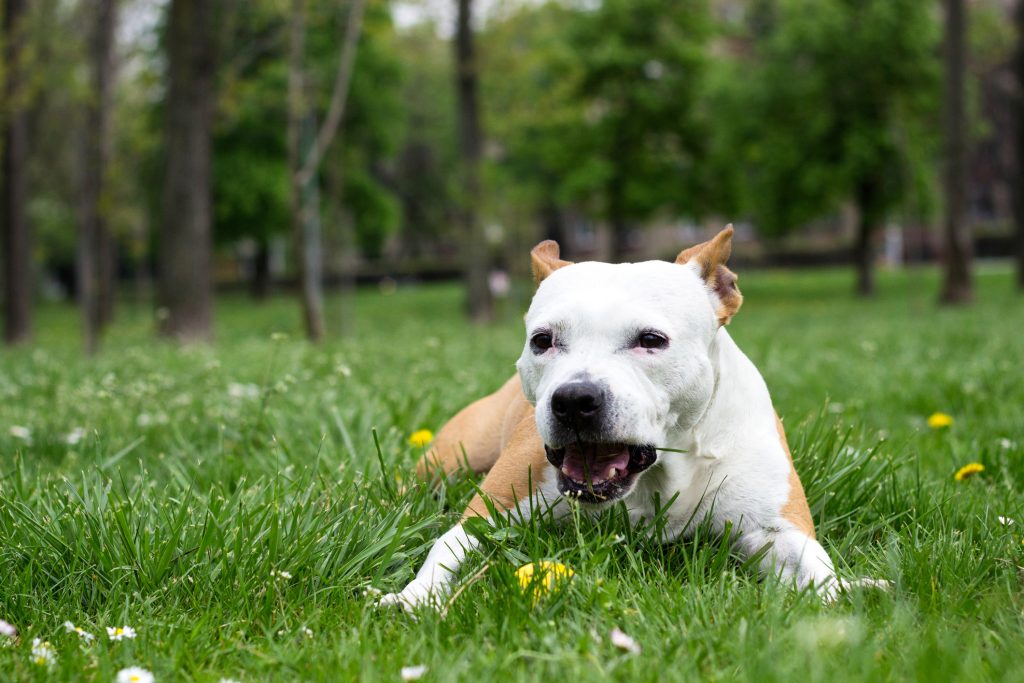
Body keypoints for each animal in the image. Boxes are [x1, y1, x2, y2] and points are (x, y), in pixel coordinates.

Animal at [380, 227, 876, 610]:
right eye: (543, 340)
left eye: (651, 340)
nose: (574, 399)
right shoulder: (488, 514)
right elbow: (448, 545)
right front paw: (413, 596)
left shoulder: (775, 525)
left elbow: (814, 565)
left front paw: (847, 592)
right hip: (450, 459)